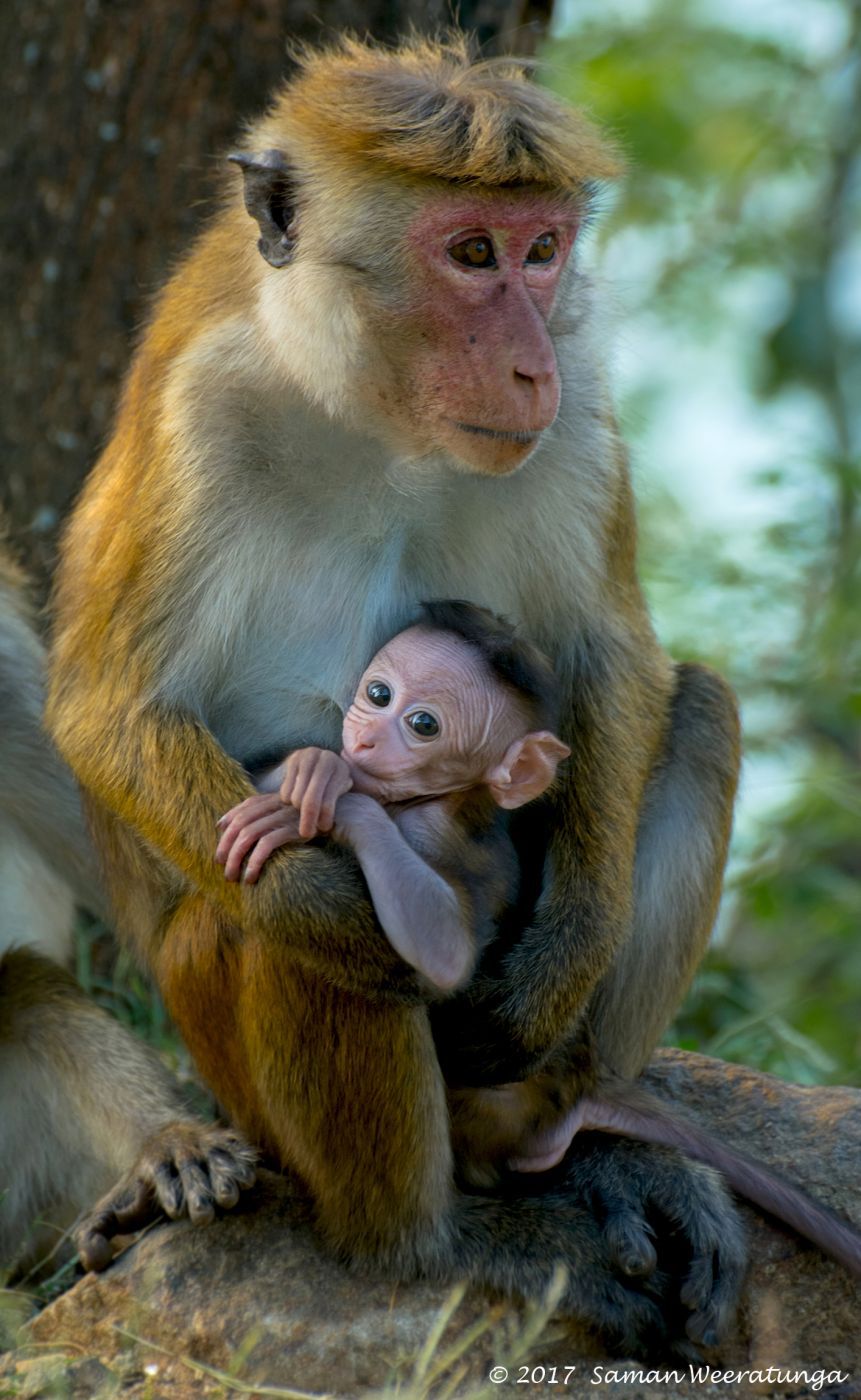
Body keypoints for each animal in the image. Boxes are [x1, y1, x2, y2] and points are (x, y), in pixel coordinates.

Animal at [44, 34, 758, 1351]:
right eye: (470, 255)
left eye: (541, 250)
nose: (527, 359)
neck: (375, 412)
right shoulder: (201, 406)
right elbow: (113, 708)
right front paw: (345, 914)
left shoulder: (578, 397)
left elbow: (614, 655)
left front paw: (561, 955)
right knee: (256, 904)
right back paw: (431, 1244)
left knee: (698, 710)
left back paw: (591, 1145)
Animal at [214, 598, 861, 1281]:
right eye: (379, 693)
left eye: (423, 725)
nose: (363, 738)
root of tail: (577, 1079)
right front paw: (307, 769)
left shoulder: (437, 834)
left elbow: (445, 951)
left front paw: (338, 800)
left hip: (498, 1117)